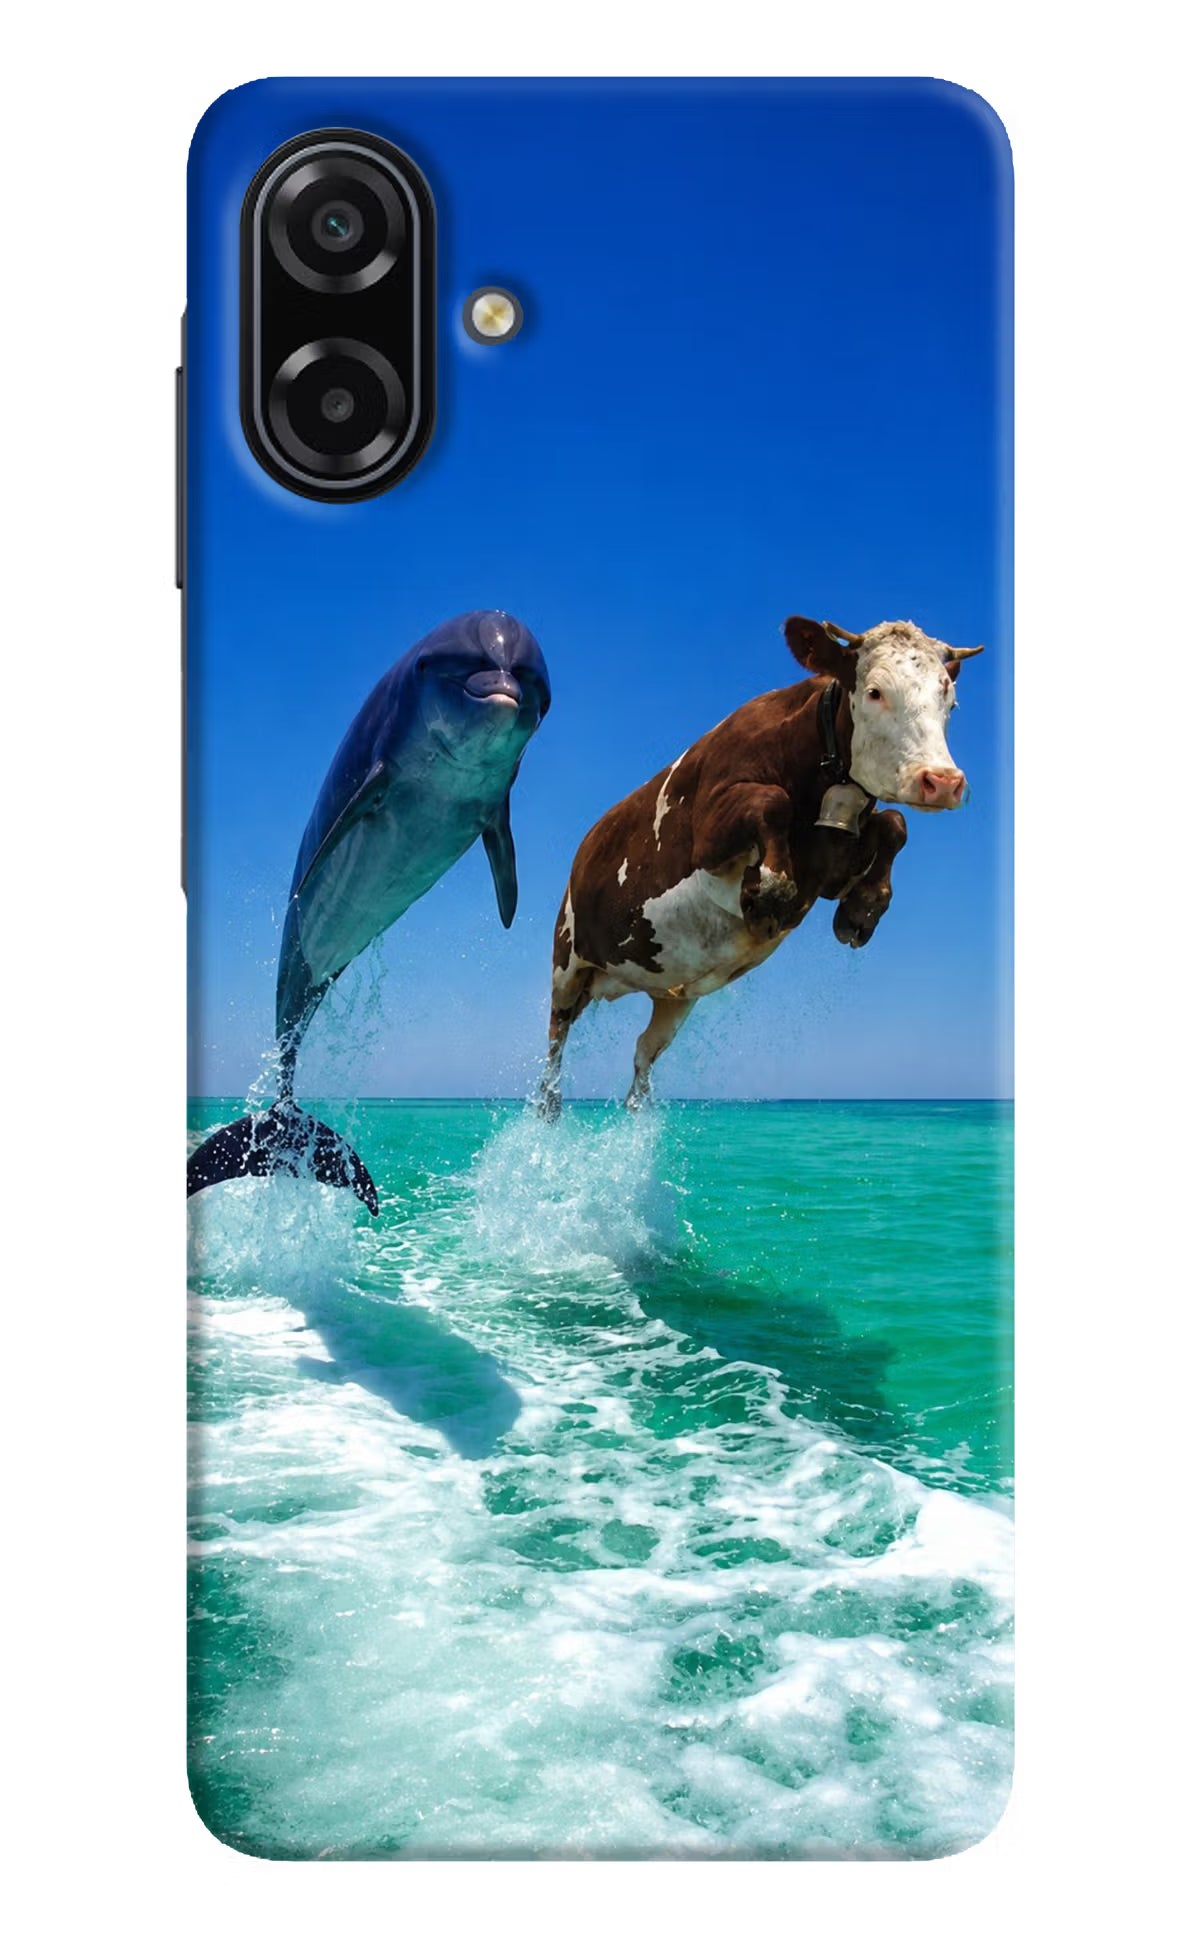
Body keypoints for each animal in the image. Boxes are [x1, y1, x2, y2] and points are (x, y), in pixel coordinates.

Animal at [536, 615, 983, 1117]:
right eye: (874, 691)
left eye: (950, 699)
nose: (942, 781)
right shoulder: (709, 833)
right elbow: (772, 802)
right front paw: (768, 893)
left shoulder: (830, 866)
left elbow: (894, 823)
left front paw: (862, 909)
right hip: (566, 962)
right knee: (554, 1042)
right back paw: (548, 1106)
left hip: (673, 995)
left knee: (643, 1054)